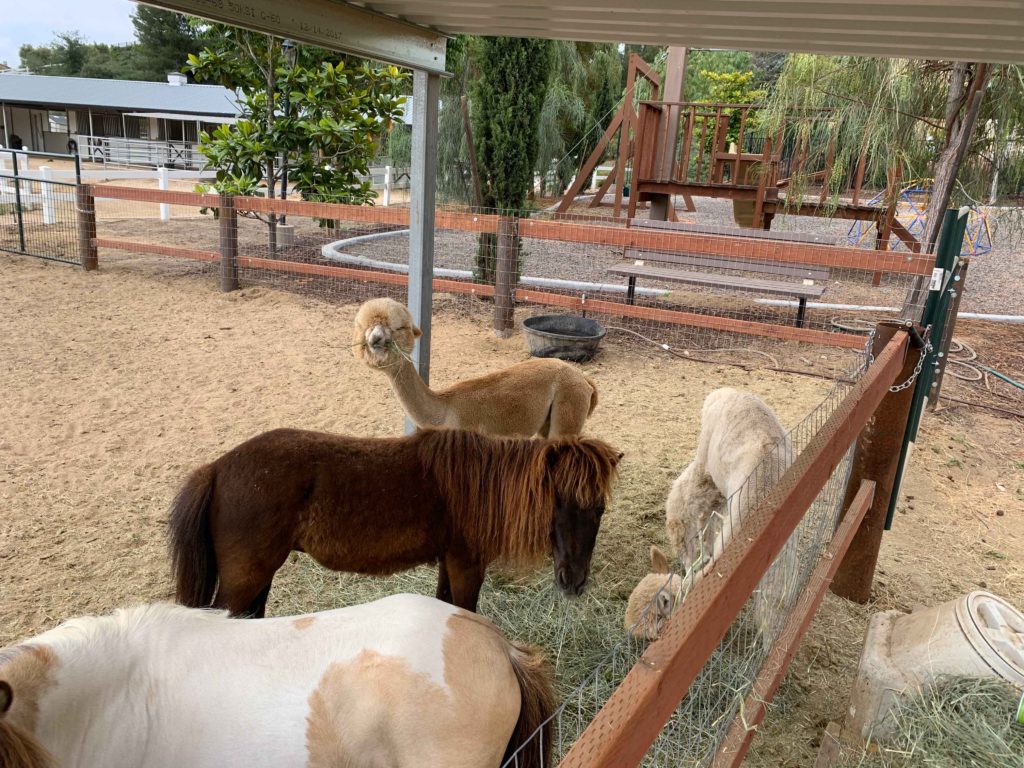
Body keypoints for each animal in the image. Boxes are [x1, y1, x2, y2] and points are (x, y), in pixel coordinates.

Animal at [167, 430, 618, 618]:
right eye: (557, 501)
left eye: (599, 509)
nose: (574, 580)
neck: (479, 485)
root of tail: (216, 469)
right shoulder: (467, 565)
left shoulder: (449, 562)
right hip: (244, 579)